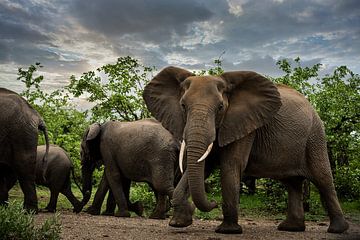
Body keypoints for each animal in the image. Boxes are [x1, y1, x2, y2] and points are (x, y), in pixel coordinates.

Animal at [143, 66, 348, 233]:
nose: (213, 202)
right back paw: (291, 228)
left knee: (322, 178)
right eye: (183, 106)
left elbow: (230, 165)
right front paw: (178, 224)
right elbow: (204, 165)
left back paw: (337, 230)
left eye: (220, 107)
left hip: (315, 136)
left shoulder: (245, 124)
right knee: (292, 183)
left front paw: (228, 231)